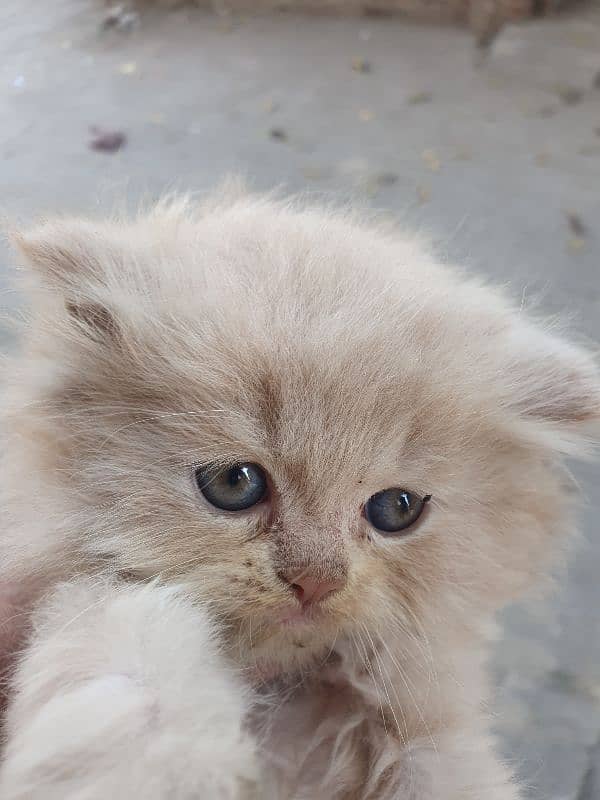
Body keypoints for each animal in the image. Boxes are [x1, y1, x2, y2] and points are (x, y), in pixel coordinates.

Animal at [0, 189, 596, 800]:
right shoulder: (84, 587)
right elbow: (137, 652)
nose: (316, 581)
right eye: (234, 483)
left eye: (396, 509)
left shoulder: (425, 713)